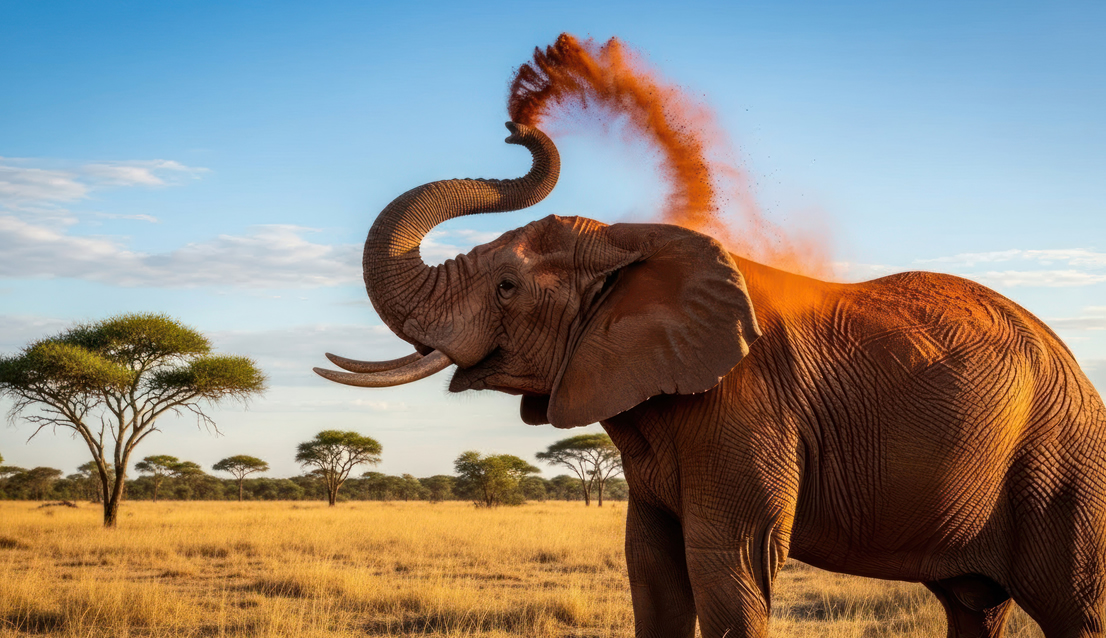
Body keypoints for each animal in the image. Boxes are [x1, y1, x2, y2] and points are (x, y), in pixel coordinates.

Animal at [315, 122, 1106, 638]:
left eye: (507, 287)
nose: (517, 128)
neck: (633, 243)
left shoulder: (747, 406)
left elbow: (730, 569)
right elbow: (653, 572)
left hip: (1060, 463)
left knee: (1075, 604)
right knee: (974, 605)